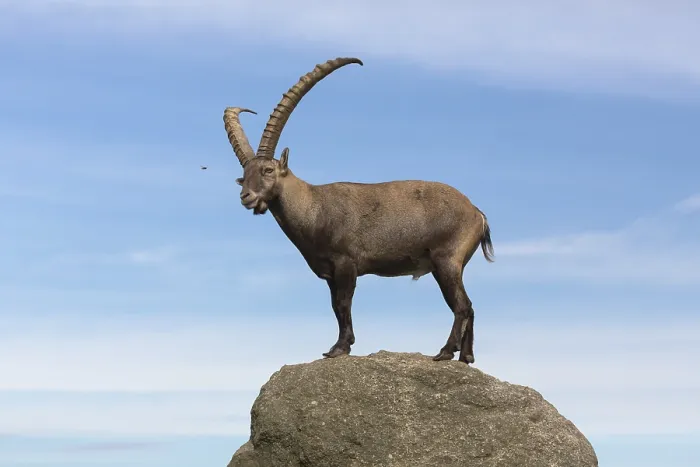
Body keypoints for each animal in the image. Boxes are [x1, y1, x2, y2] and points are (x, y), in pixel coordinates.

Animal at [223, 57, 494, 364]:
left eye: (268, 170)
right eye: (243, 177)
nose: (246, 196)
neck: (314, 206)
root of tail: (476, 213)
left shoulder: (346, 264)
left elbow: (343, 304)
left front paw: (340, 348)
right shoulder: (330, 273)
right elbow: (335, 307)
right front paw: (339, 346)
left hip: (446, 261)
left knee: (462, 305)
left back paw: (446, 352)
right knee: (469, 306)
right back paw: (466, 357)